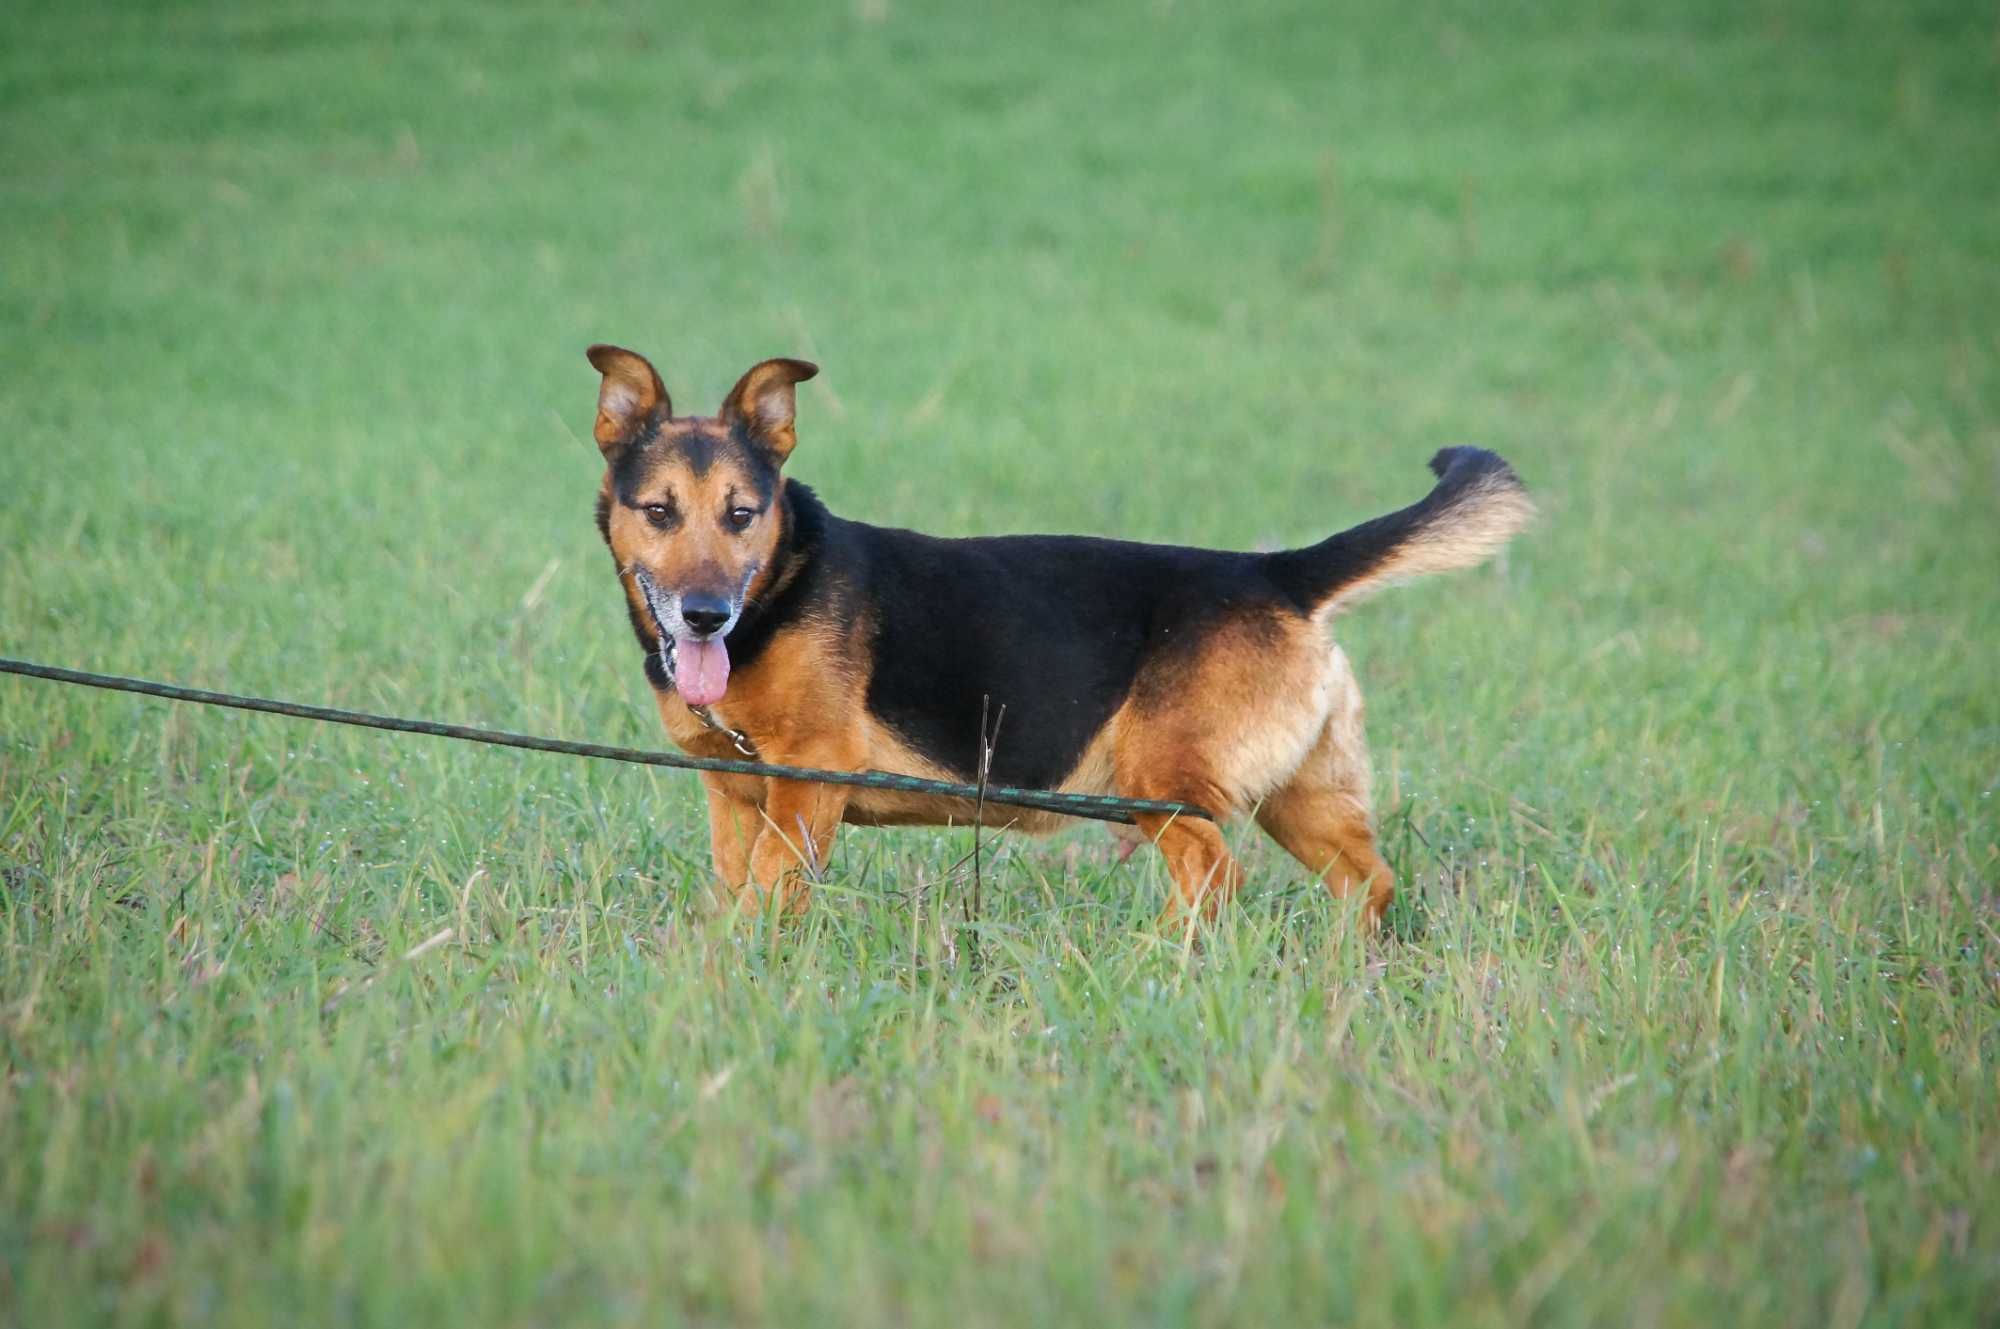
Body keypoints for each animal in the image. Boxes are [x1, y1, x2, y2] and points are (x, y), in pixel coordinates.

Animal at [580, 342, 1528, 924]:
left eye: (741, 514)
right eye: (659, 511)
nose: (707, 614)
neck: (780, 583)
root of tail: (1278, 572)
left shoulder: (806, 785)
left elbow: (766, 907)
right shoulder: (733, 796)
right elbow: (732, 898)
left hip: (1163, 784)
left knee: (1214, 880)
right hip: (1302, 797)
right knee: (1368, 884)